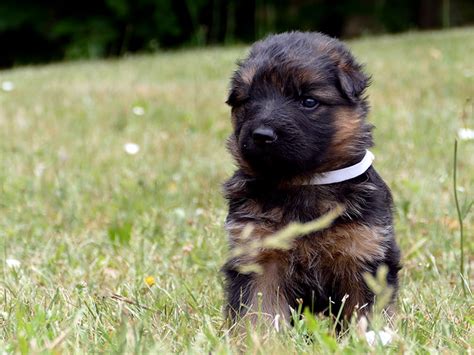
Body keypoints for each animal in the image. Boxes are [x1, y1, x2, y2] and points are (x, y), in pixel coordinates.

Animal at [222, 32, 400, 326]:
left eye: (308, 101)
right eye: (248, 101)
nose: (262, 135)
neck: (303, 182)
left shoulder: (363, 255)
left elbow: (364, 313)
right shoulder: (259, 257)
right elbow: (259, 314)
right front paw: (259, 337)